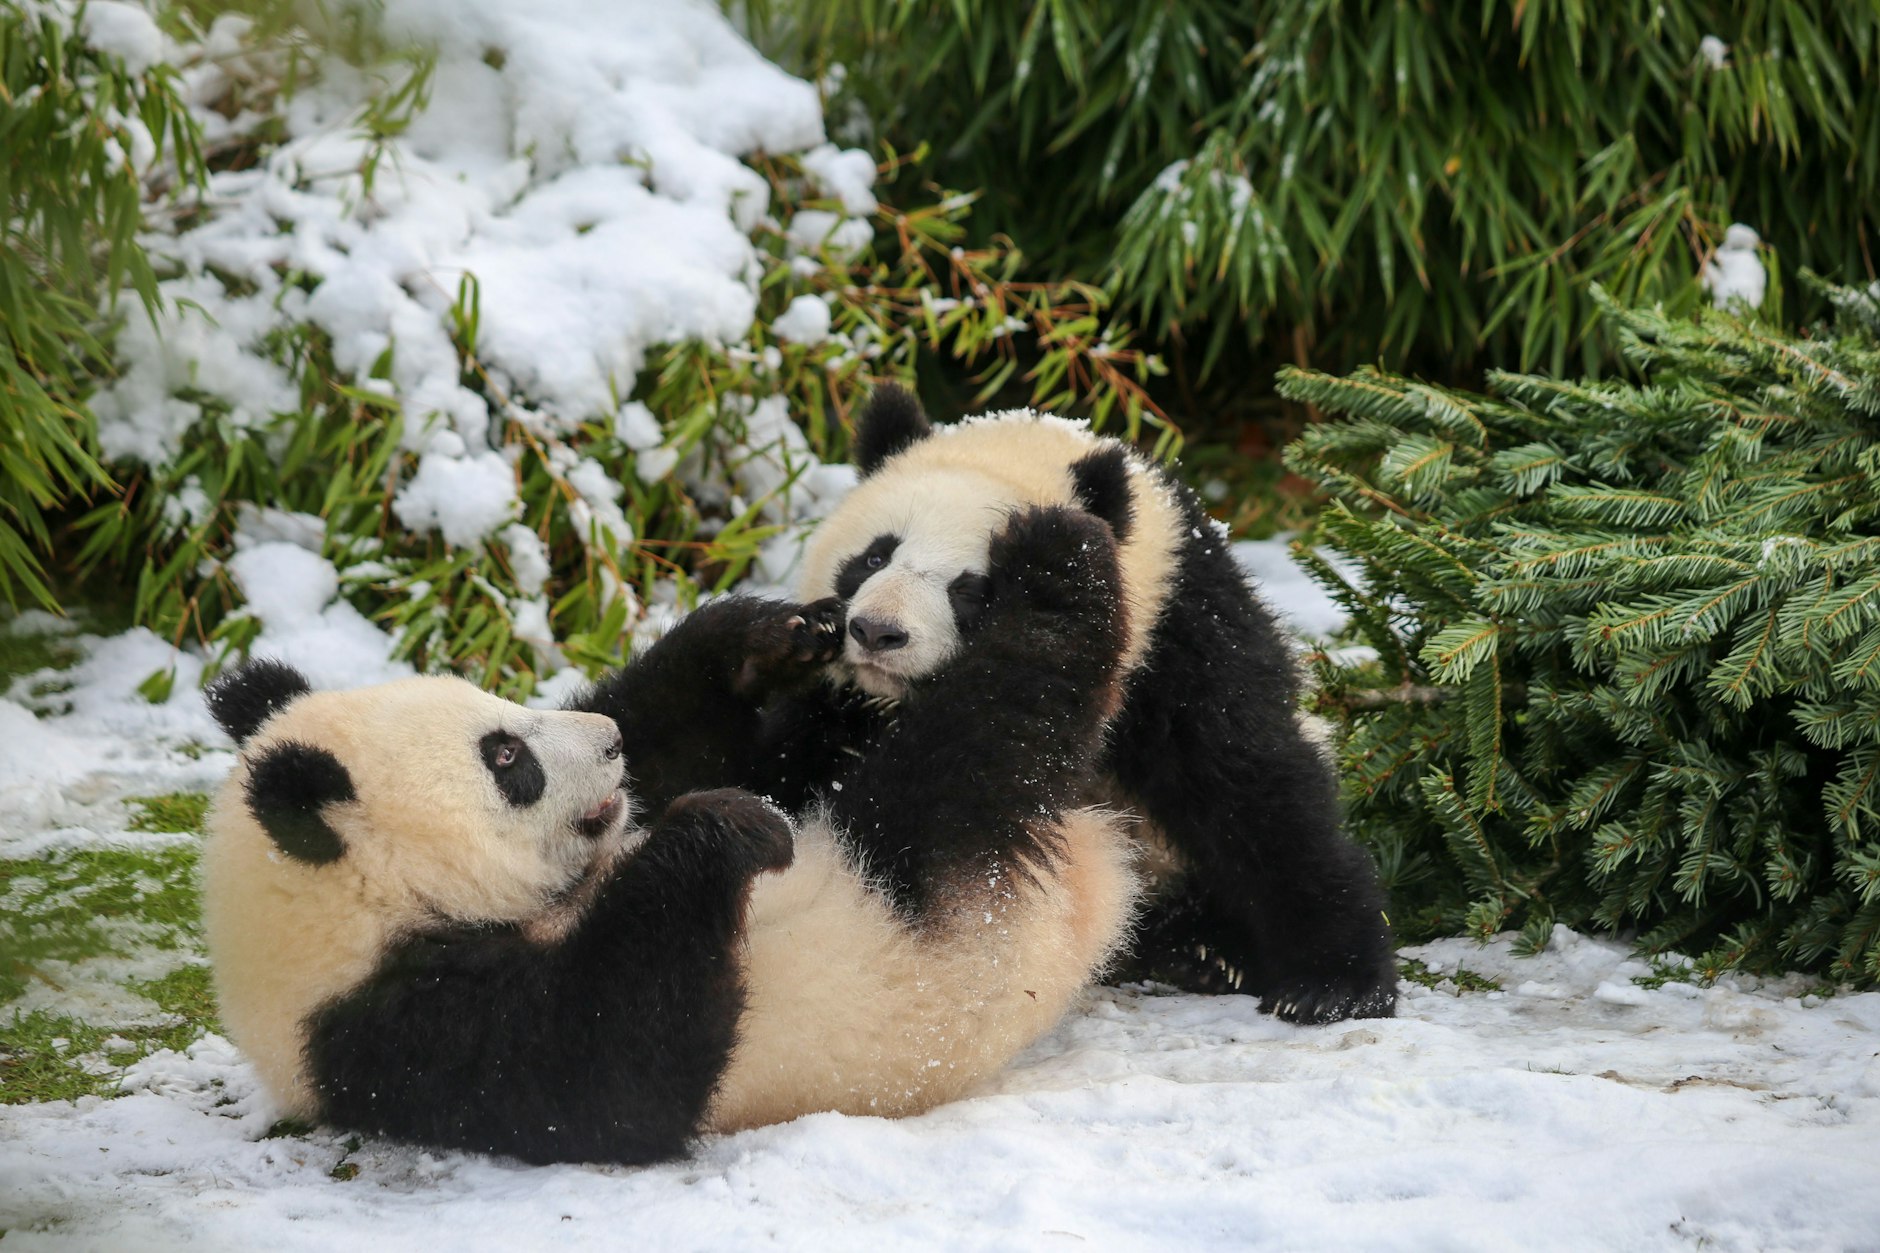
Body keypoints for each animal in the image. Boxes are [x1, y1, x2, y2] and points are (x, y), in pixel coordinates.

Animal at [201, 504, 1138, 1166]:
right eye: (506, 756)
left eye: (497, 711)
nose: (606, 743)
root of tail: (1101, 879)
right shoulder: (394, 1030)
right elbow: (612, 1069)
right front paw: (726, 830)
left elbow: (675, 732)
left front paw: (762, 638)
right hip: (911, 893)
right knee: (973, 749)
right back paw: (1061, 566)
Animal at [764, 385, 1398, 1024]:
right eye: (874, 558)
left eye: (969, 589)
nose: (876, 632)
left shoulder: (1178, 631)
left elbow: (1247, 778)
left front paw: (1333, 984)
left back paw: (1207, 950)